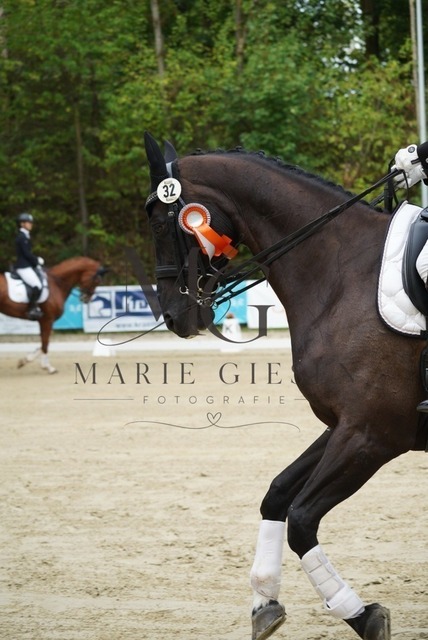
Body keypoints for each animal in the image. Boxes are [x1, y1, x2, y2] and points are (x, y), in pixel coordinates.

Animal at [143, 131, 428, 640]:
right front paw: (264, 600)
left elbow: (301, 518)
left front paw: (363, 615)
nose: (175, 316)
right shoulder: (344, 424)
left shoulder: (373, 435)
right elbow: (277, 494)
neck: (342, 274)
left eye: (159, 224)